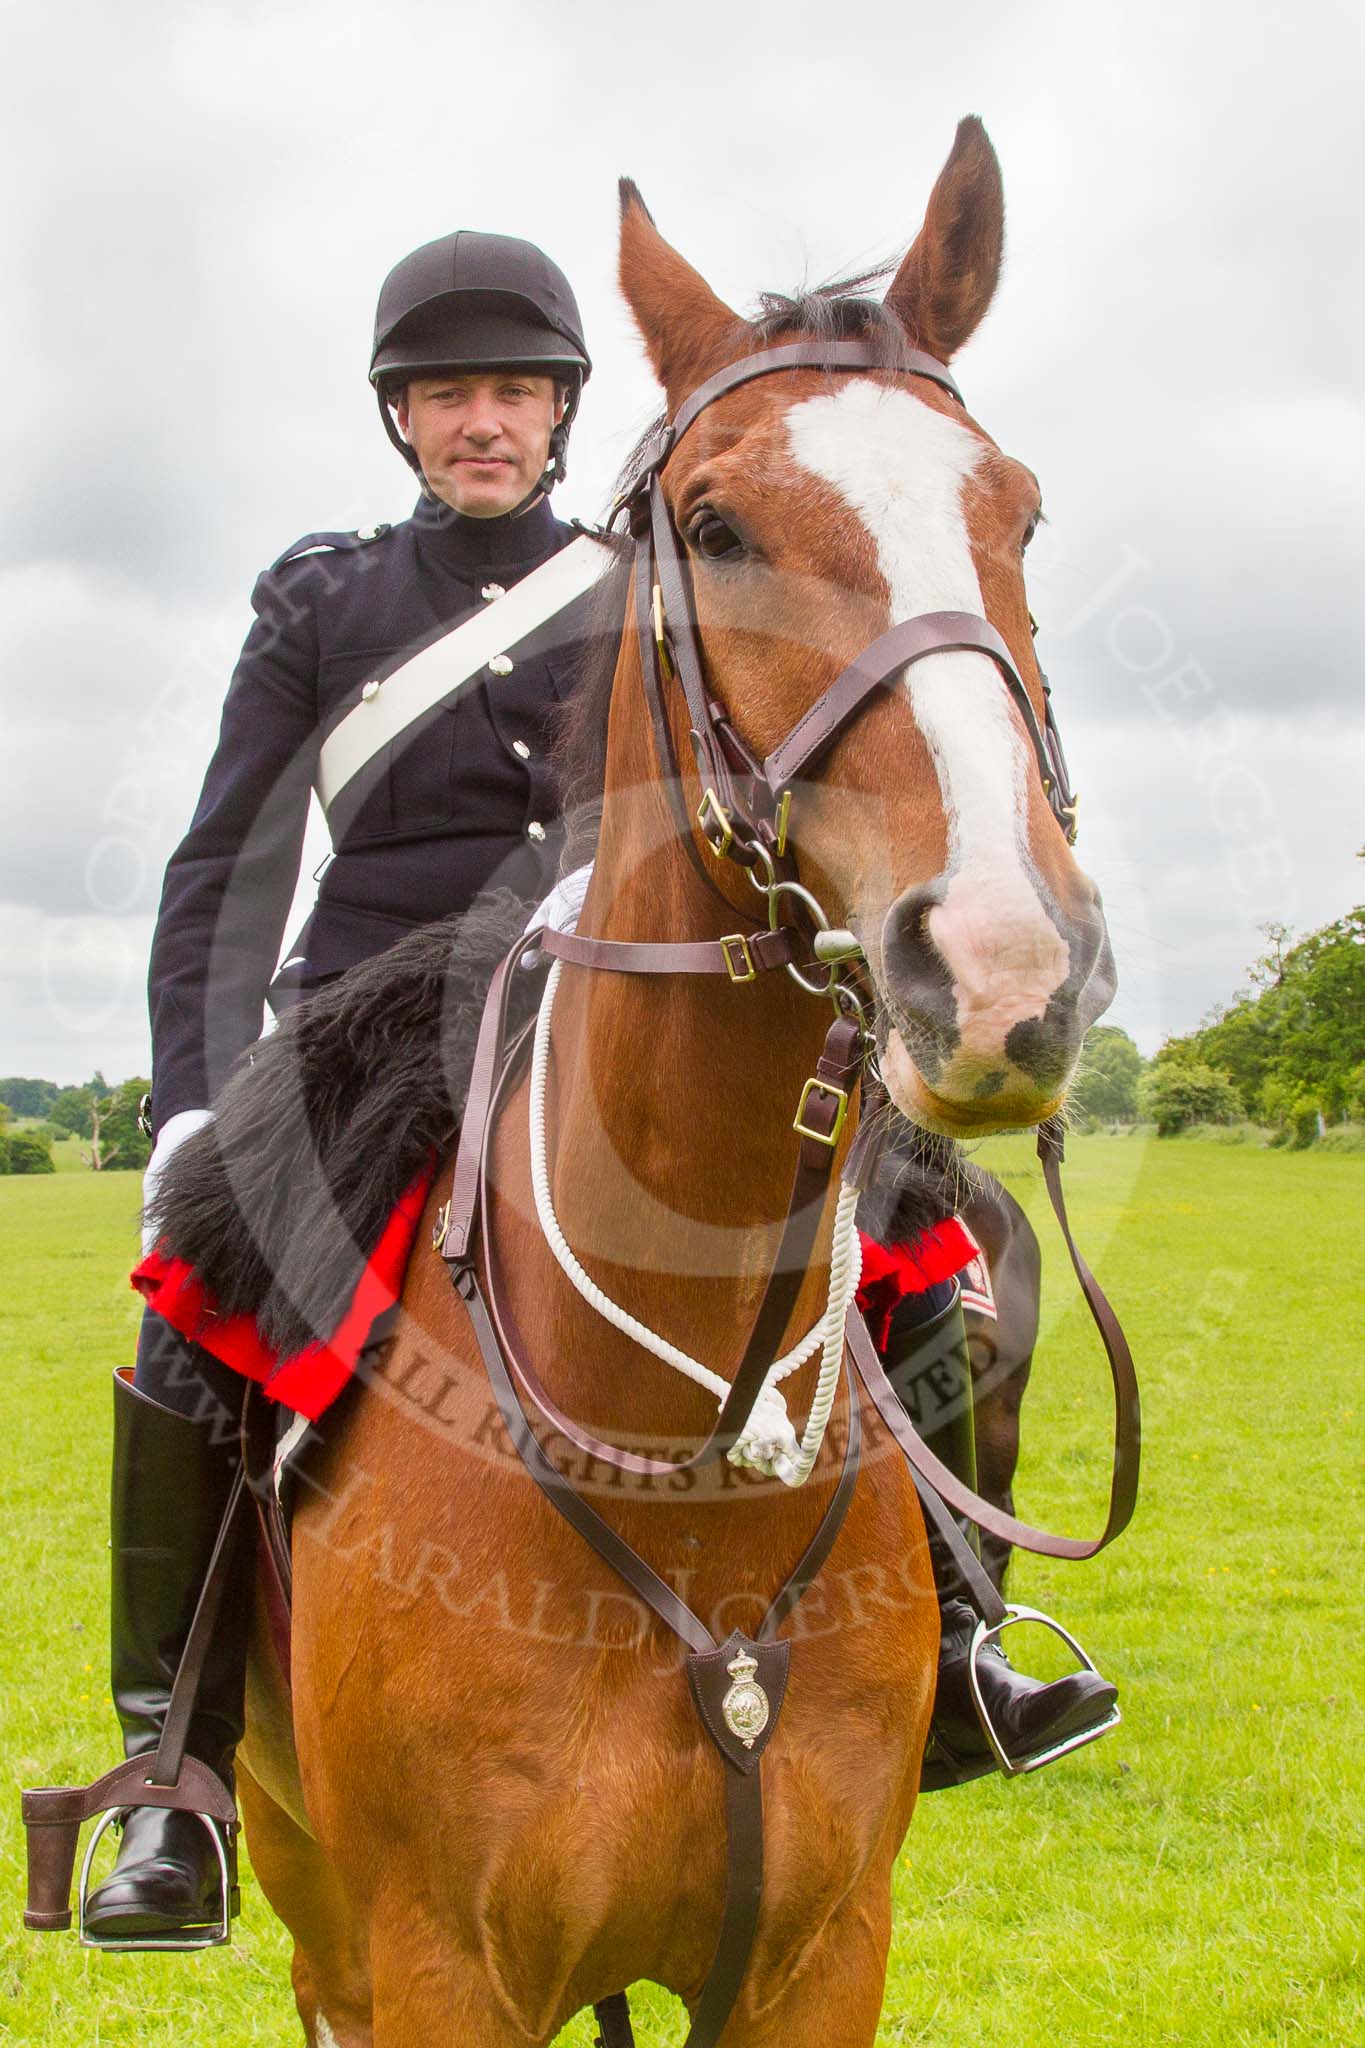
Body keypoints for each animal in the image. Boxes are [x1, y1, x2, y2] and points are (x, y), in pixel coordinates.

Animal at [235, 116, 1113, 2048]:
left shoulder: (814, 1952)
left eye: (1019, 512)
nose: (1003, 965)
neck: (683, 1462)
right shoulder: (434, 1967)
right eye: (716, 528)